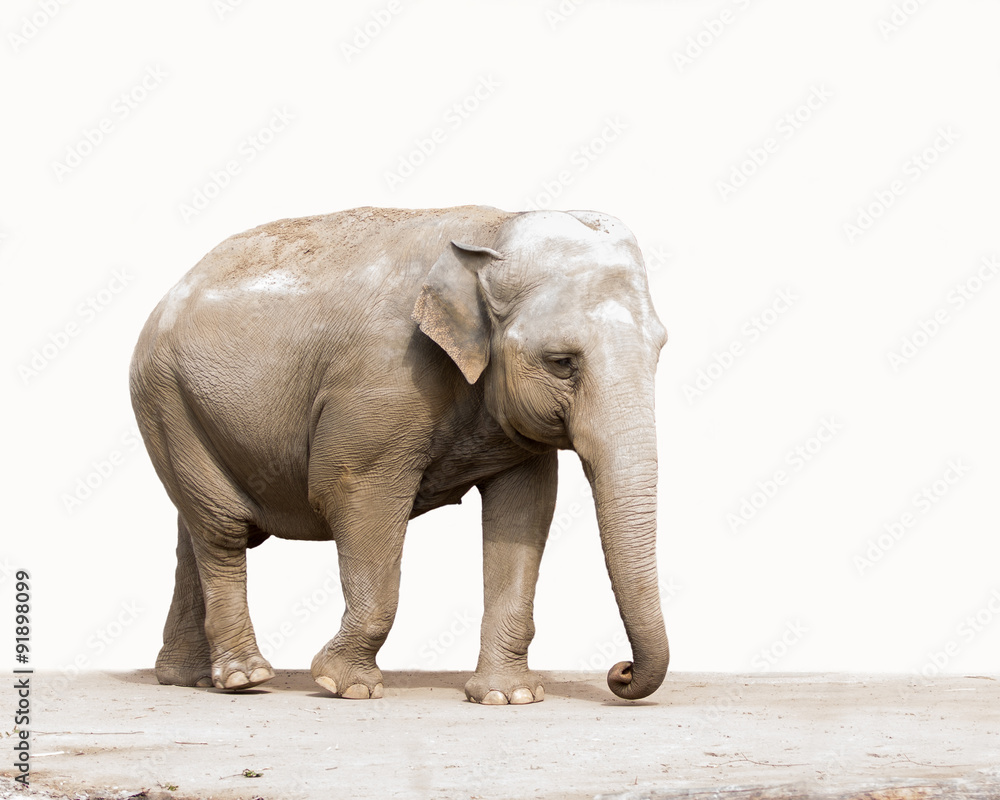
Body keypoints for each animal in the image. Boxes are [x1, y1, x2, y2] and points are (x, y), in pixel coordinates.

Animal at [129, 205, 669, 704]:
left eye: (660, 349)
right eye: (561, 362)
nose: (619, 671)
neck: (493, 231)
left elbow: (526, 510)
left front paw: (508, 697)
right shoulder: (382, 379)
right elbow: (351, 491)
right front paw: (343, 686)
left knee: (194, 533)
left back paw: (188, 678)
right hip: (165, 399)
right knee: (224, 530)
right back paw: (245, 679)